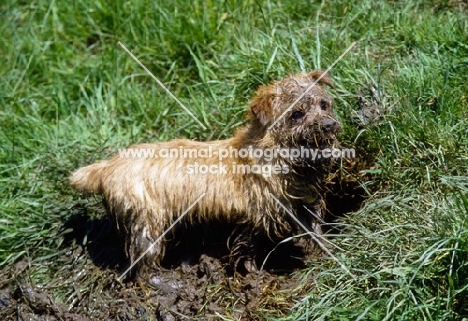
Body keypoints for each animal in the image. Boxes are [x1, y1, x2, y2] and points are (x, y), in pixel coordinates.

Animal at [70, 70, 340, 272]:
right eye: (297, 114)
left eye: (324, 105)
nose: (329, 125)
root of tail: (107, 165)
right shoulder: (254, 214)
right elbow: (247, 246)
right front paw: (253, 272)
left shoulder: (301, 203)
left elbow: (314, 229)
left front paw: (331, 253)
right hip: (147, 220)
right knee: (144, 257)